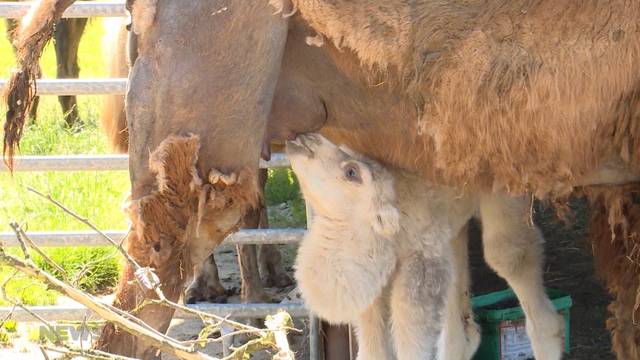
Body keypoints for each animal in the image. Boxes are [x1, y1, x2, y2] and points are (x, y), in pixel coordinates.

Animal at [288, 134, 564, 358]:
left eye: (351, 172)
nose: (305, 139)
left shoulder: (419, 261)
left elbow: (411, 334)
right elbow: (372, 347)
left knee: (508, 255)